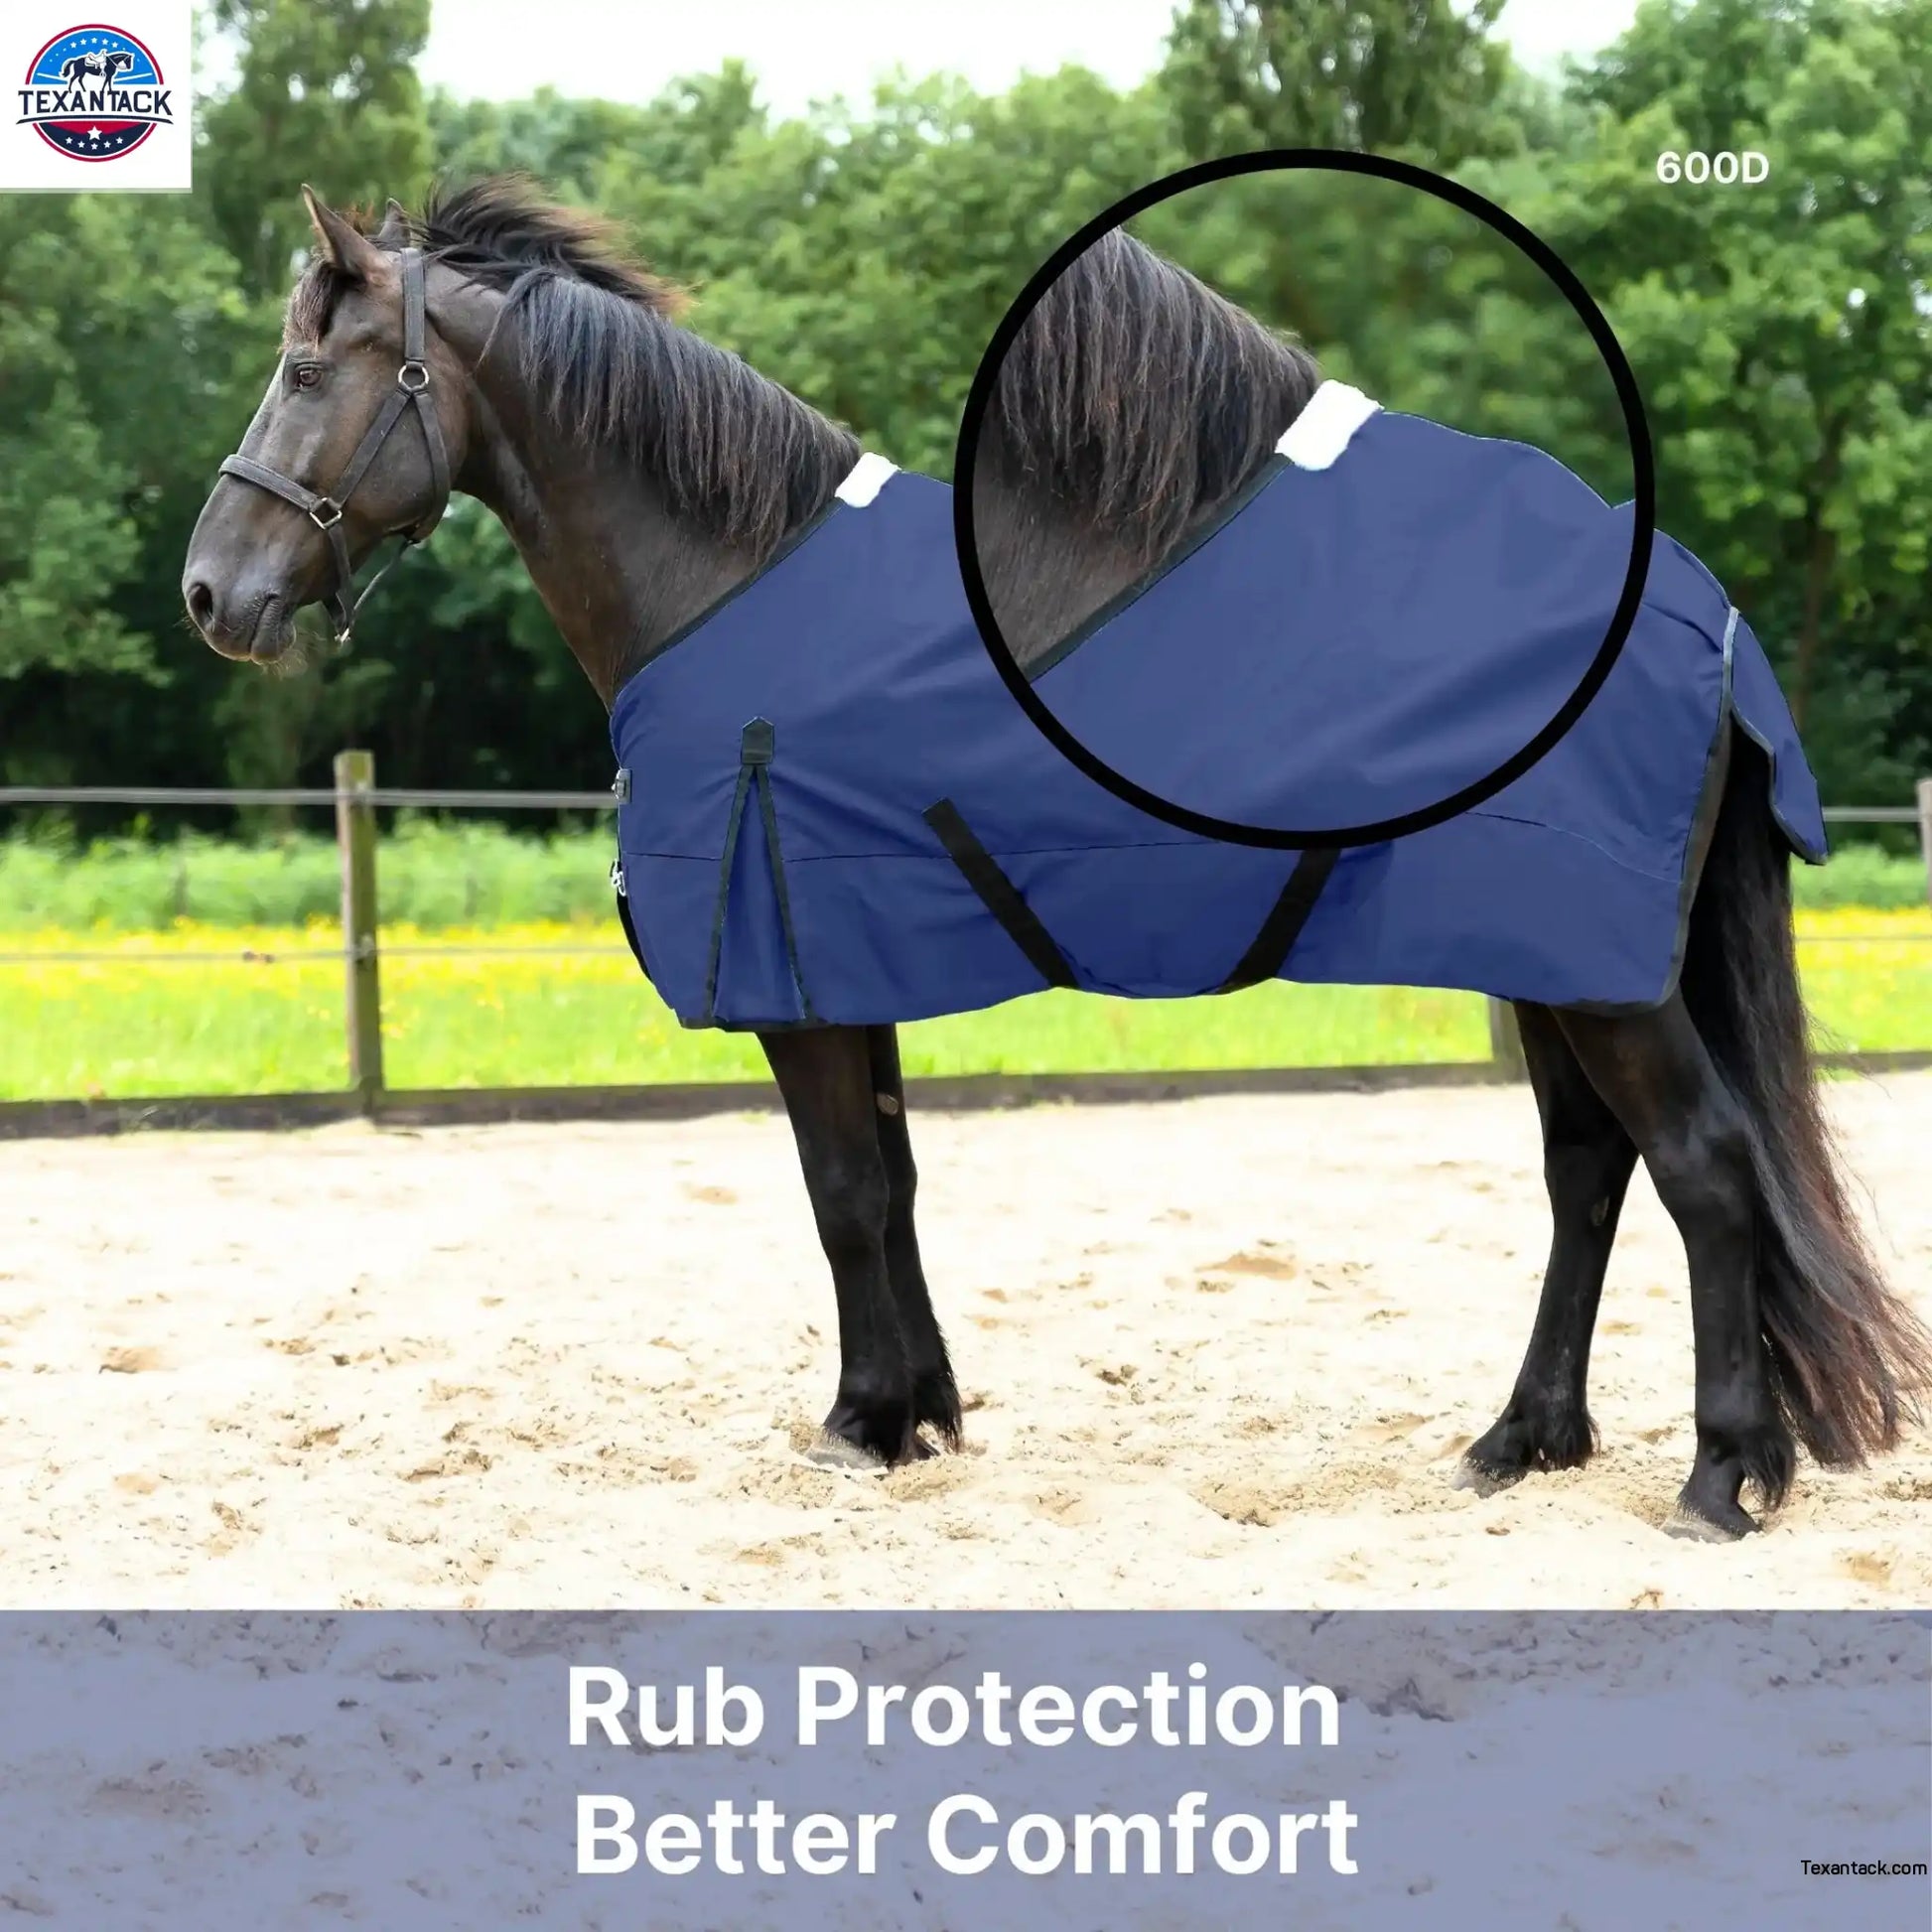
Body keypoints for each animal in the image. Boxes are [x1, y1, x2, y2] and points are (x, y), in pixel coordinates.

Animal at [181, 178, 1931, 1541]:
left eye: (303, 365)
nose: (211, 592)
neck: (729, 580)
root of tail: (1697, 610)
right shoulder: (851, 965)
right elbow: (887, 1183)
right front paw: (920, 1411)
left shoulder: (799, 983)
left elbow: (837, 1192)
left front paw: (859, 1423)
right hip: (1555, 962)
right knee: (1589, 1172)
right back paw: (1519, 1443)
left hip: (1598, 972)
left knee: (1702, 1168)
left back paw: (1720, 1478)